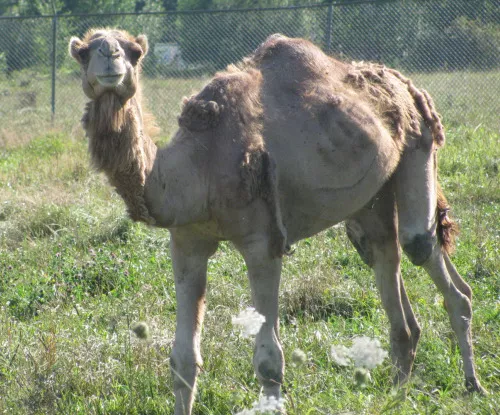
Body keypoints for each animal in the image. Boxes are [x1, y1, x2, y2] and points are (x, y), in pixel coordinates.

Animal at [68, 28, 486, 412]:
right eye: (85, 51)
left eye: (134, 52)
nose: (109, 56)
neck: (197, 167)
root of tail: (406, 84)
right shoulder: (186, 242)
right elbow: (182, 360)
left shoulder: (262, 243)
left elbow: (269, 360)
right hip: (373, 197)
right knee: (387, 259)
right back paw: (399, 391)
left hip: (419, 144)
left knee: (422, 247)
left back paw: (472, 383)